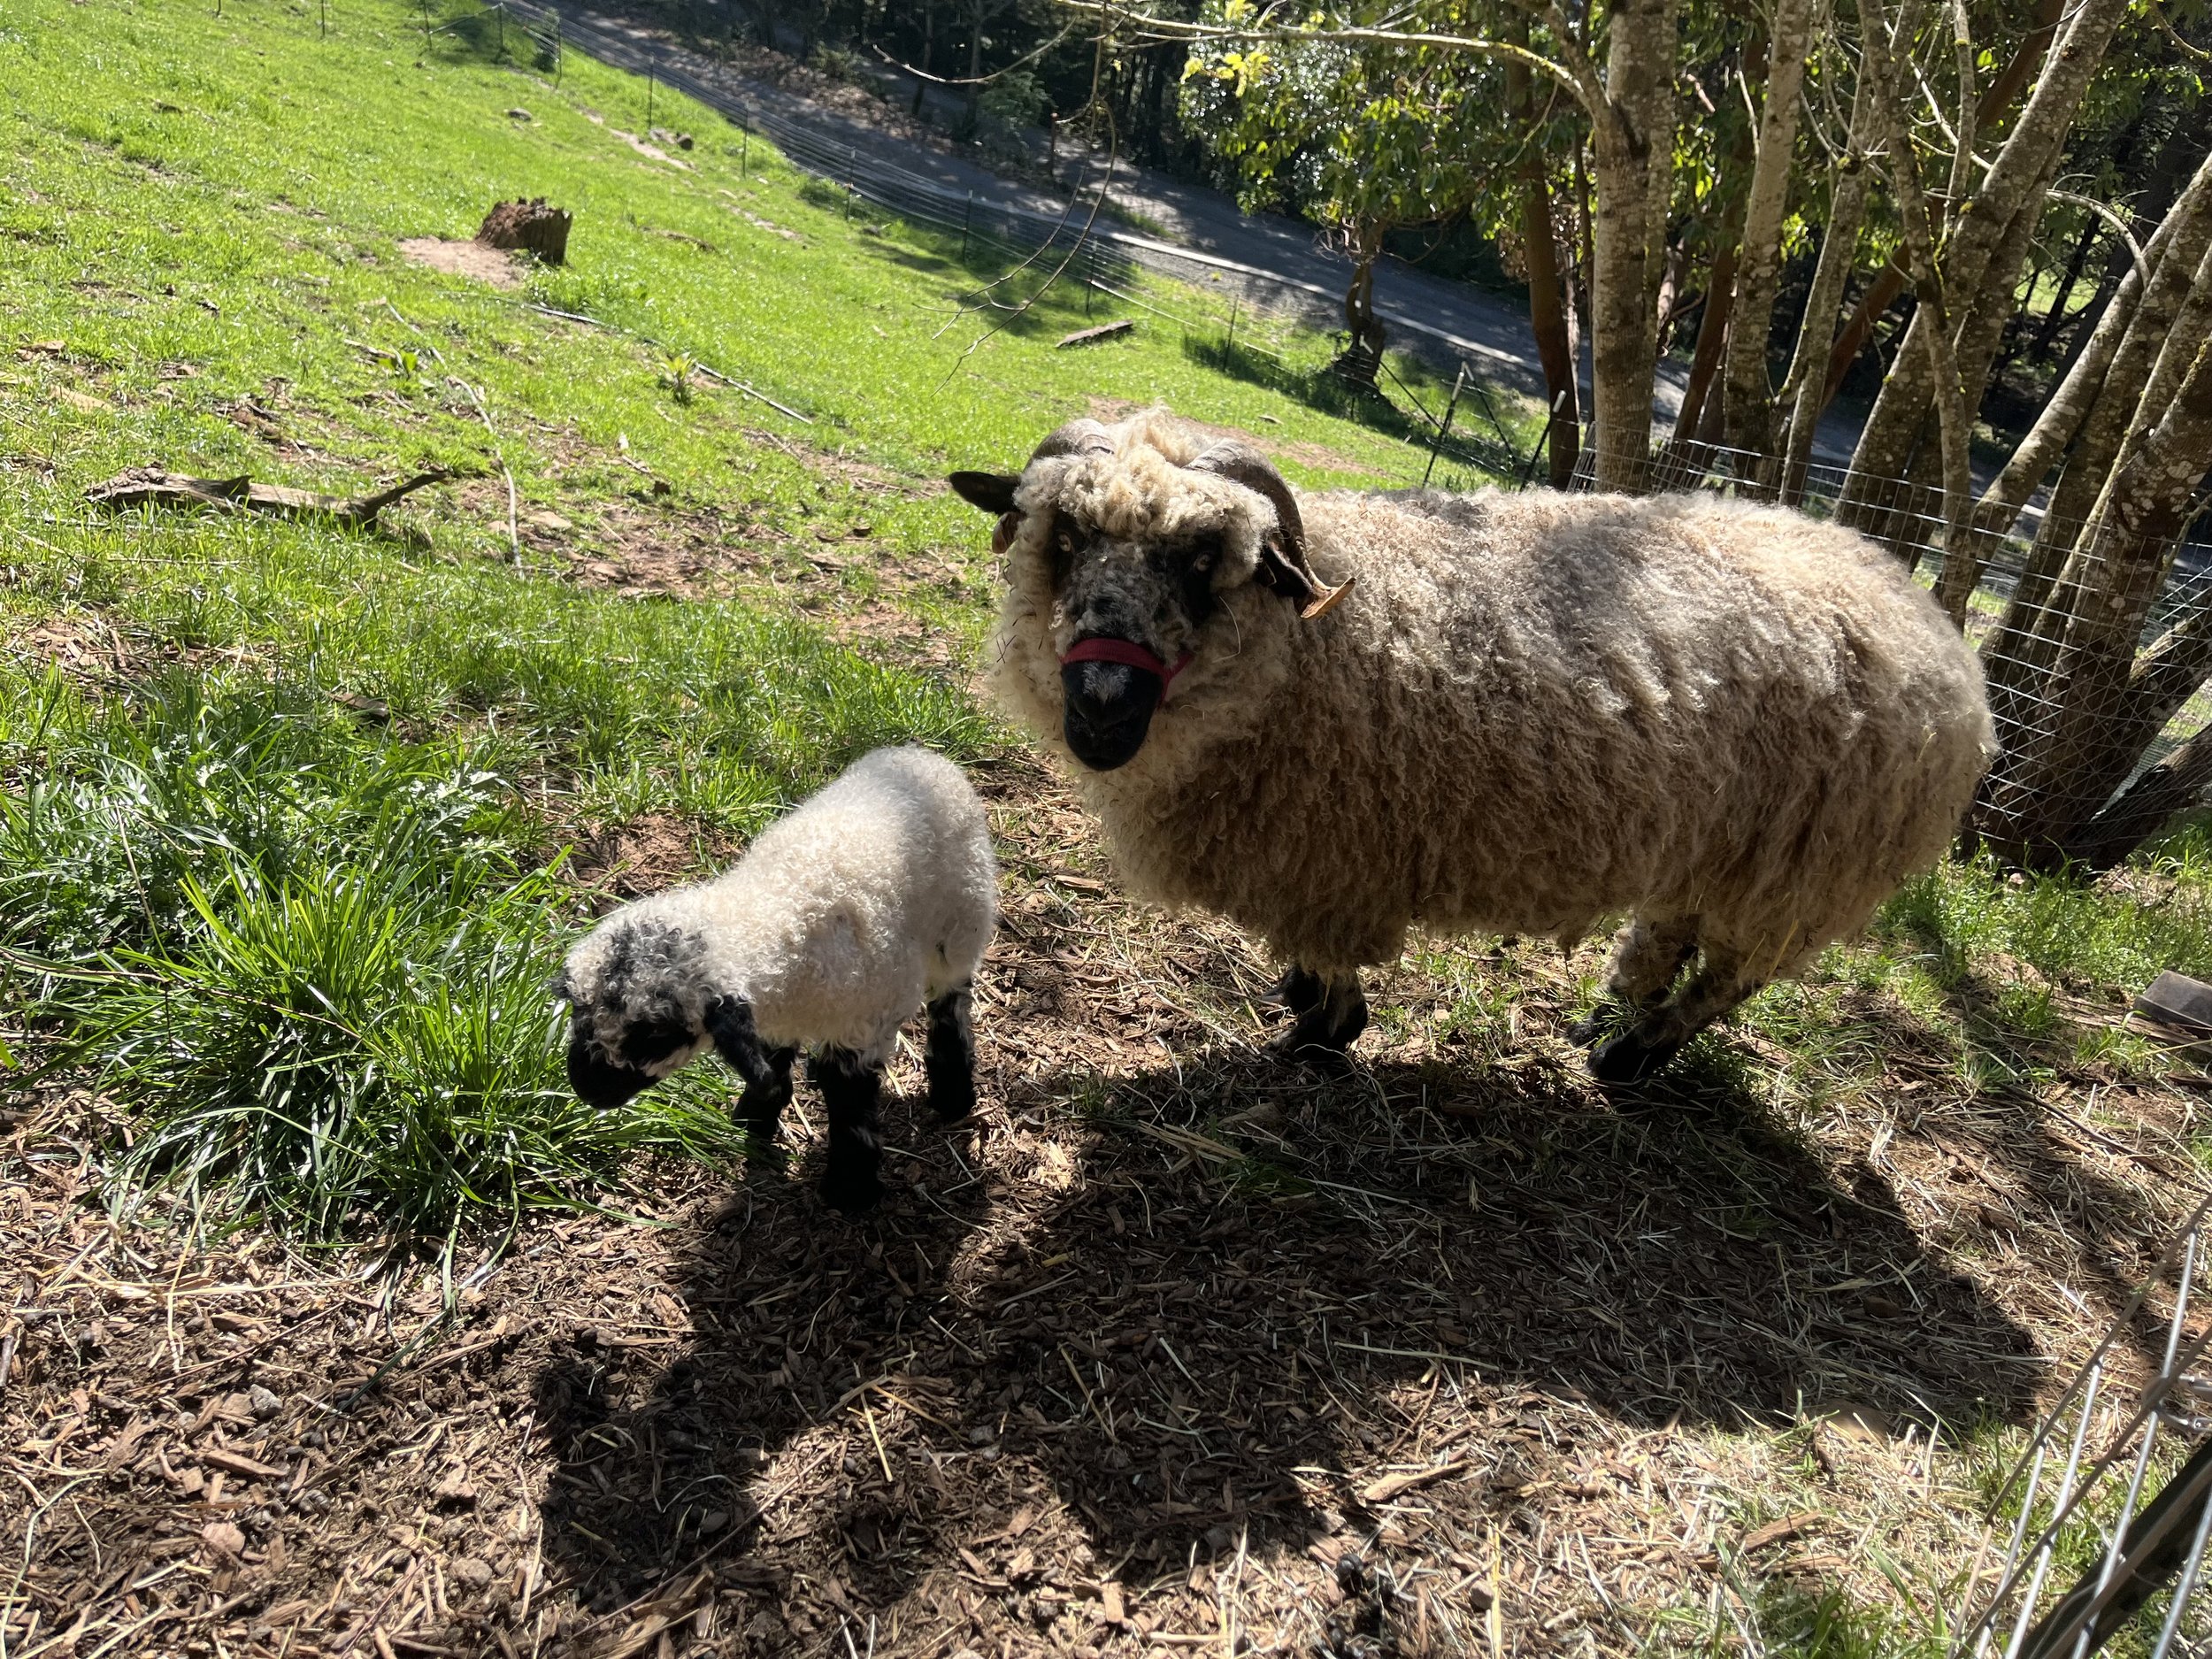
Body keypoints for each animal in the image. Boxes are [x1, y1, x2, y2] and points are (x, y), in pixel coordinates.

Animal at [554, 746, 997, 1211]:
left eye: (656, 1036)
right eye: (578, 1013)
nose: (587, 1090)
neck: (771, 917)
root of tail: (922, 755)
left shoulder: (863, 1024)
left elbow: (849, 1102)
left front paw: (849, 1188)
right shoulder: (773, 1013)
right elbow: (774, 1060)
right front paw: (756, 1114)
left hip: (962, 919)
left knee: (951, 1001)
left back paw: (953, 1094)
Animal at [949, 408, 1993, 1085]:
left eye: (1205, 558)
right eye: (1066, 536)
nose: (1103, 703)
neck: (1306, 649)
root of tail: (1936, 628)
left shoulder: (1333, 862)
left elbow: (1334, 968)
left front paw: (1323, 1035)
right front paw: (1303, 1004)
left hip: (1800, 875)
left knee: (1730, 978)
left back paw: (1632, 1056)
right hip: (1723, 844)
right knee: (1668, 932)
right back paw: (1608, 1017)